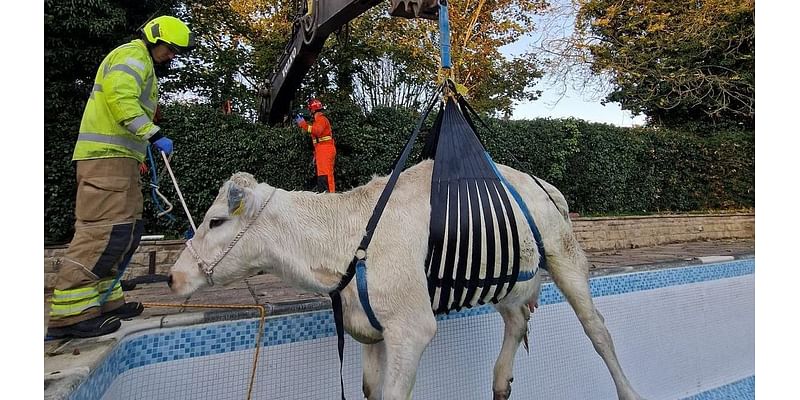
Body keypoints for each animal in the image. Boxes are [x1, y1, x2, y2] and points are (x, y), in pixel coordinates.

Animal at [169, 159, 644, 400]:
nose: (173, 277)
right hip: (504, 277)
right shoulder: (370, 326)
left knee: (597, 329)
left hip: (564, 253)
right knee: (516, 321)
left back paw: (627, 391)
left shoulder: (411, 327)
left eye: (214, 221)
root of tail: (538, 180)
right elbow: (368, 389)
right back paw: (499, 382)